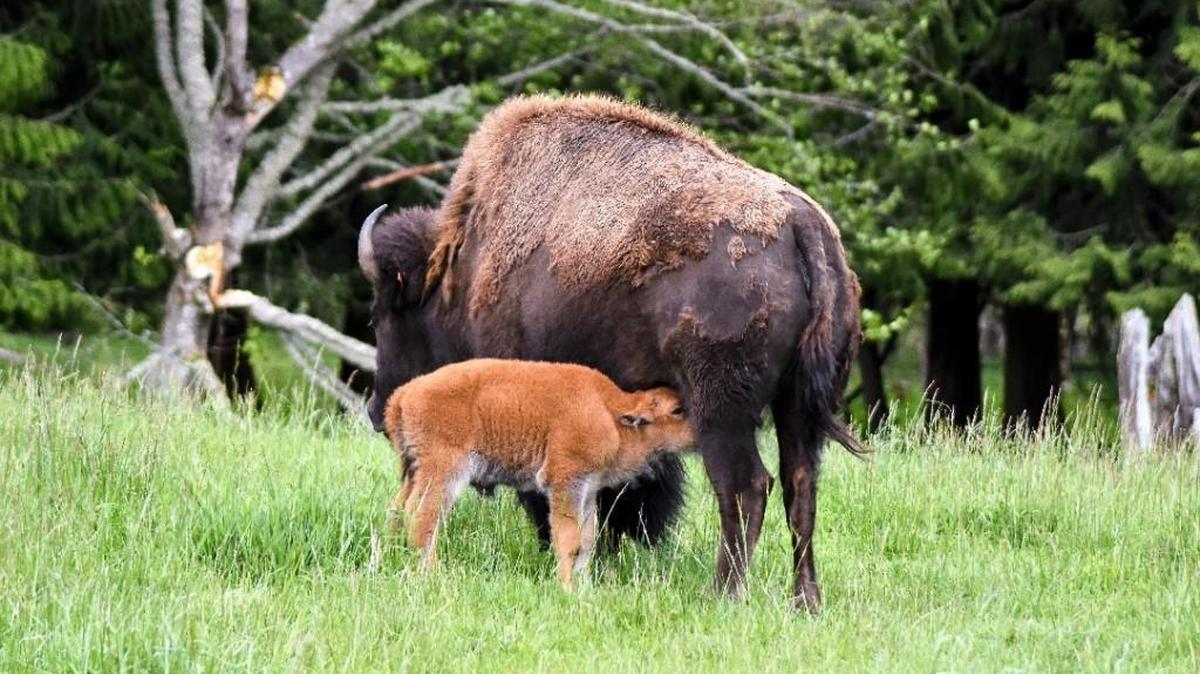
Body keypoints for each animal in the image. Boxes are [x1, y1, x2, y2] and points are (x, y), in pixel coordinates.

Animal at [384, 358, 694, 586]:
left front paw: (584, 586)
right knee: (422, 515)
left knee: (398, 508)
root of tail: (405, 394)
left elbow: (586, 539)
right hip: (444, 471)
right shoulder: (566, 483)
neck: (609, 412)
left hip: (414, 470)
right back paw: (433, 573)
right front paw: (566, 587)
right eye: (677, 410)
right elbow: (568, 539)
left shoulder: (588, 489)